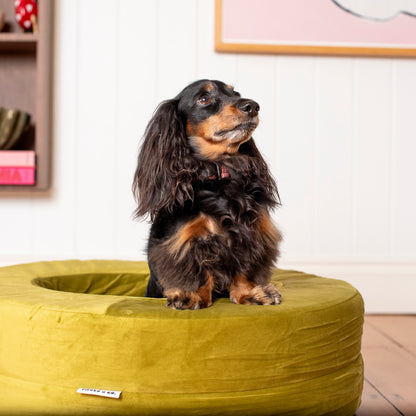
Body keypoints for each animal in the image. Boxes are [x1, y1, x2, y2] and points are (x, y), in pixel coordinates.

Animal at [133, 80, 282, 308]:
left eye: (235, 93)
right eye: (204, 99)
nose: (252, 106)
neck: (219, 172)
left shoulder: (251, 233)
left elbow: (245, 268)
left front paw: (250, 294)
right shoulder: (184, 241)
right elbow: (198, 272)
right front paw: (190, 296)